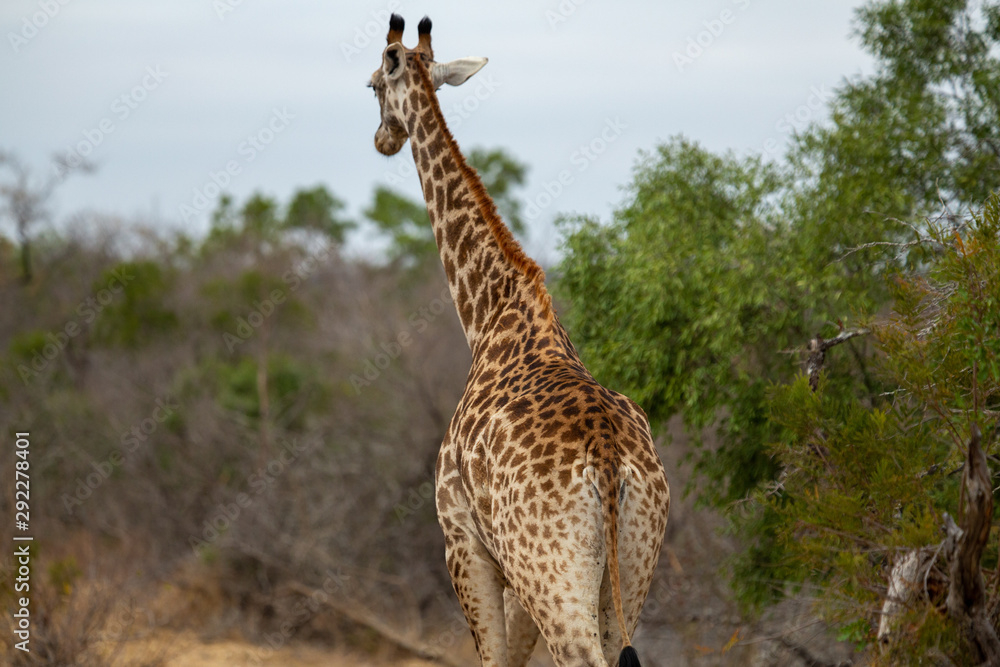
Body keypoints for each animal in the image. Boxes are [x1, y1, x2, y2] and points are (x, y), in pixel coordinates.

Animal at [367, 14, 670, 667]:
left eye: (373, 83)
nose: (383, 139)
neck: (489, 317)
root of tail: (609, 461)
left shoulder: (463, 540)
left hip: (550, 569)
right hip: (630, 567)